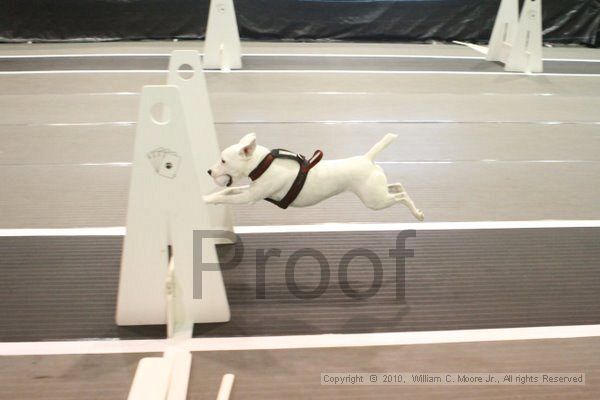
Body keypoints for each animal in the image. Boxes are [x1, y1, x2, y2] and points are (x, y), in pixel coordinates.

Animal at [204, 133, 424, 220]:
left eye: (223, 161)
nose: (209, 171)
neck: (264, 164)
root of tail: (367, 158)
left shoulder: (249, 197)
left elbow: (228, 197)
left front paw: (206, 199)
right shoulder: (249, 191)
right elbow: (229, 191)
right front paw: (213, 197)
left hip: (375, 201)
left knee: (400, 196)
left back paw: (417, 214)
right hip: (377, 192)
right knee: (398, 186)